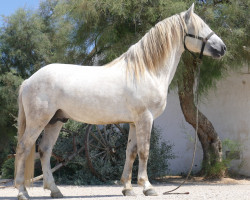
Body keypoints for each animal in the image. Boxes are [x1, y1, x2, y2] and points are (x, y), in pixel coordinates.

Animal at [14, 3, 226, 199]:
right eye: (201, 26)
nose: (222, 48)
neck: (147, 71)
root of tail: (28, 80)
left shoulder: (134, 122)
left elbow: (130, 152)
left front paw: (127, 188)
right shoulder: (145, 119)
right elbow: (144, 151)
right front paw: (147, 187)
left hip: (55, 121)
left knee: (45, 150)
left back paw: (55, 190)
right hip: (38, 120)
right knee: (24, 148)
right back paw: (22, 191)